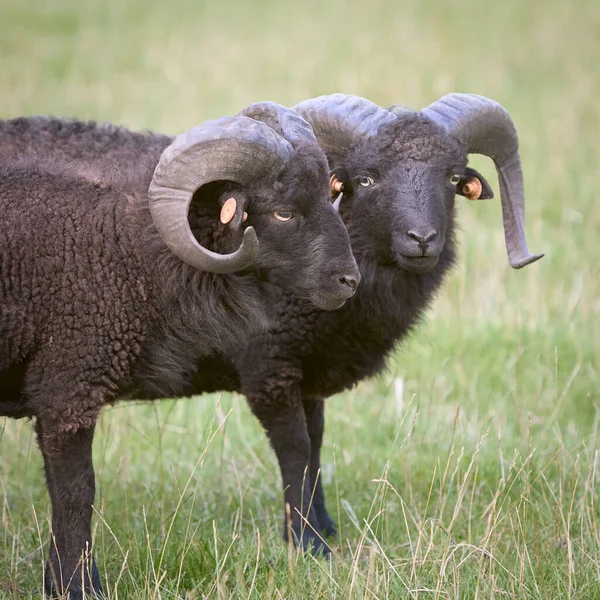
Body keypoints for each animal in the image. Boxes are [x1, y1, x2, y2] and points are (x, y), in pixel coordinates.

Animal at [0, 101, 358, 596]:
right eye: (284, 213)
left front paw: (63, 582)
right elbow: (75, 494)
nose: (349, 281)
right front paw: (78, 586)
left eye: (330, 195)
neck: (121, 249)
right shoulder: (67, 390)